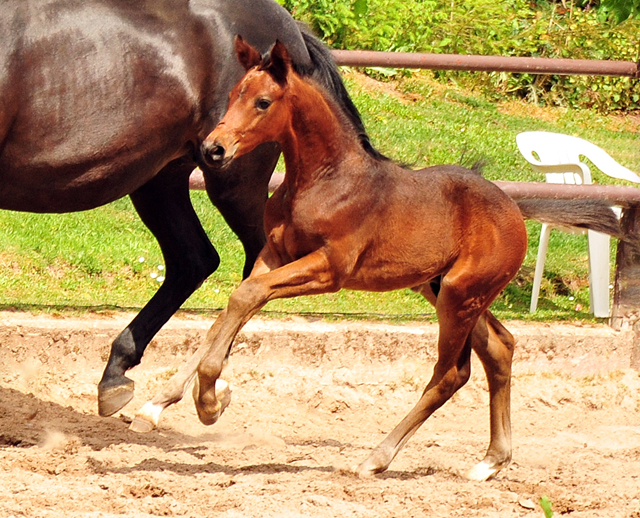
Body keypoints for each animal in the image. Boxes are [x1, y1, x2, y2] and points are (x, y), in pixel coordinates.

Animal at [0, 0, 370, 418]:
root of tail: (290, 27)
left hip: (234, 180)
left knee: (252, 271)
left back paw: (206, 389)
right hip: (161, 179)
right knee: (194, 260)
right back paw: (120, 377)